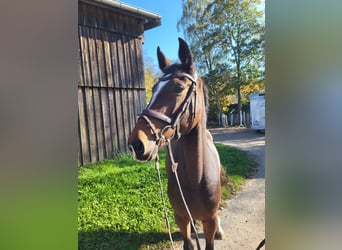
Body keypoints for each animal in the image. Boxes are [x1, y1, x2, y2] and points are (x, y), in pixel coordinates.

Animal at [128, 37, 224, 250]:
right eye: (153, 89)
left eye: (179, 88)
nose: (136, 144)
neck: (197, 178)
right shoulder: (181, 218)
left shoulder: (210, 221)